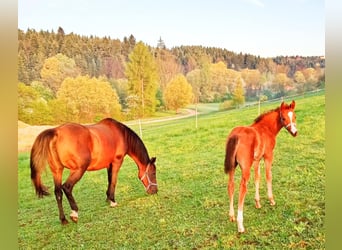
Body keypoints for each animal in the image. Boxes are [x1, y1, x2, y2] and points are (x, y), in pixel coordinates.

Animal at [30, 117, 158, 225]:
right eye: (153, 173)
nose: (154, 191)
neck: (121, 134)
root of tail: (56, 132)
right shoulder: (117, 162)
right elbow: (114, 181)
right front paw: (113, 201)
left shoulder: (109, 164)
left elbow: (109, 180)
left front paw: (108, 198)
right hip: (78, 169)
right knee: (67, 187)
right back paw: (74, 213)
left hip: (57, 171)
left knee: (58, 193)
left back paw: (63, 219)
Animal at [224, 100, 296, 233]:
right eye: (283, 118)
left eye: (294, 116)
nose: (295, 132)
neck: (266, 129)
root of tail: (235, 135)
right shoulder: (268, 156)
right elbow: (268, 176)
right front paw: (271, 200)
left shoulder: (257, 160)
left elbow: (257, 177)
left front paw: (257, 202)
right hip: (245, 168)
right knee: (242, 188)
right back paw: (240, 225)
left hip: (232, 166)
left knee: (231, 186)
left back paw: (231, 216)